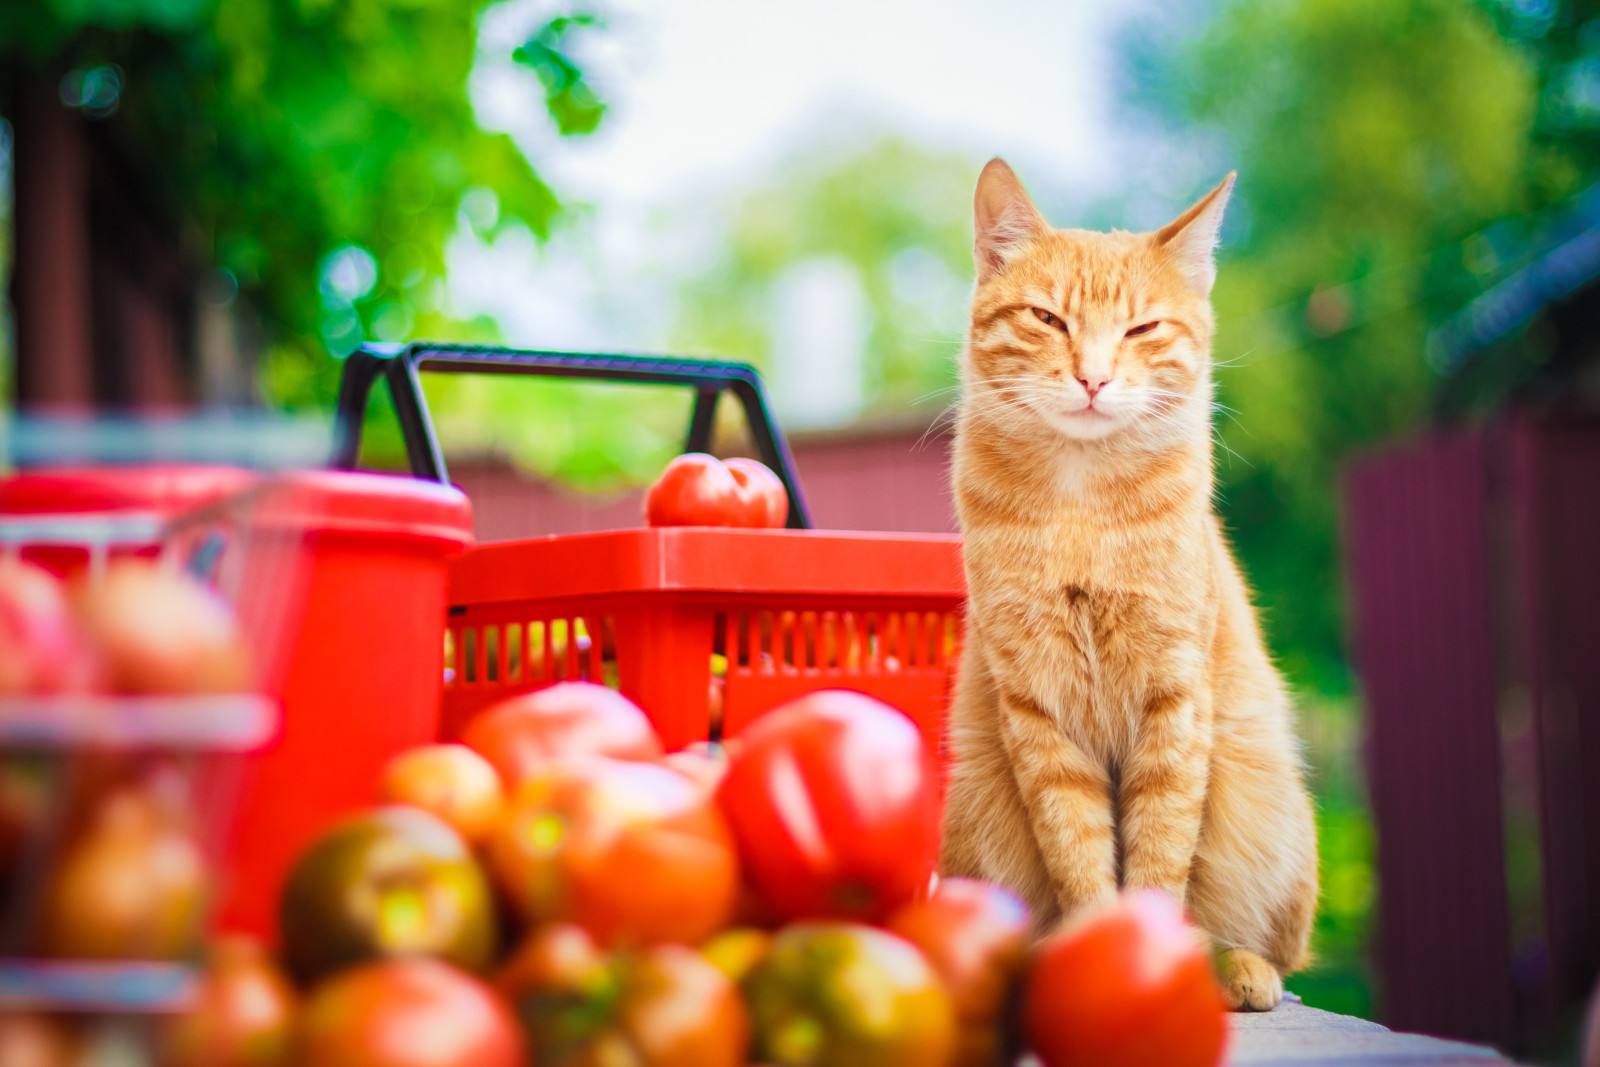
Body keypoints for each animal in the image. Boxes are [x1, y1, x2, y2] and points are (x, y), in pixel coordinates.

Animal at [940, 156, 1318, 1011]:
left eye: (1142, 329)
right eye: (1047, 318)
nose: (1093, 378)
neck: (1081, 505)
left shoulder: (1173, 701)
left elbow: (1158, 852)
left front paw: (1152, 965)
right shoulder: (1037, 709)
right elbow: (1080, 850)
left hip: (1271, 806)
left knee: (1272, 948)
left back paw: (1239, 968)